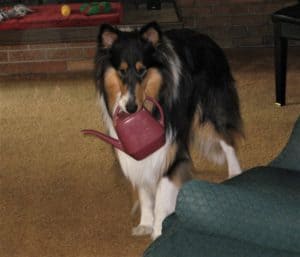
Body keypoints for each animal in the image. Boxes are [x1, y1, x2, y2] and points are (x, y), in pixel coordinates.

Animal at [94, 21, 244, 238]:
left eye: (142, 70)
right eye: (121, 70)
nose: (131, 108)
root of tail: (204, 36)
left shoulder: (172, 149)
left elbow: (163, 196)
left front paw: (159, 230)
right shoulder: (137, 153)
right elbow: (145, 191)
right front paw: (146, 223)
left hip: (213, 107)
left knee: (227, 139)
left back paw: (235, 172)